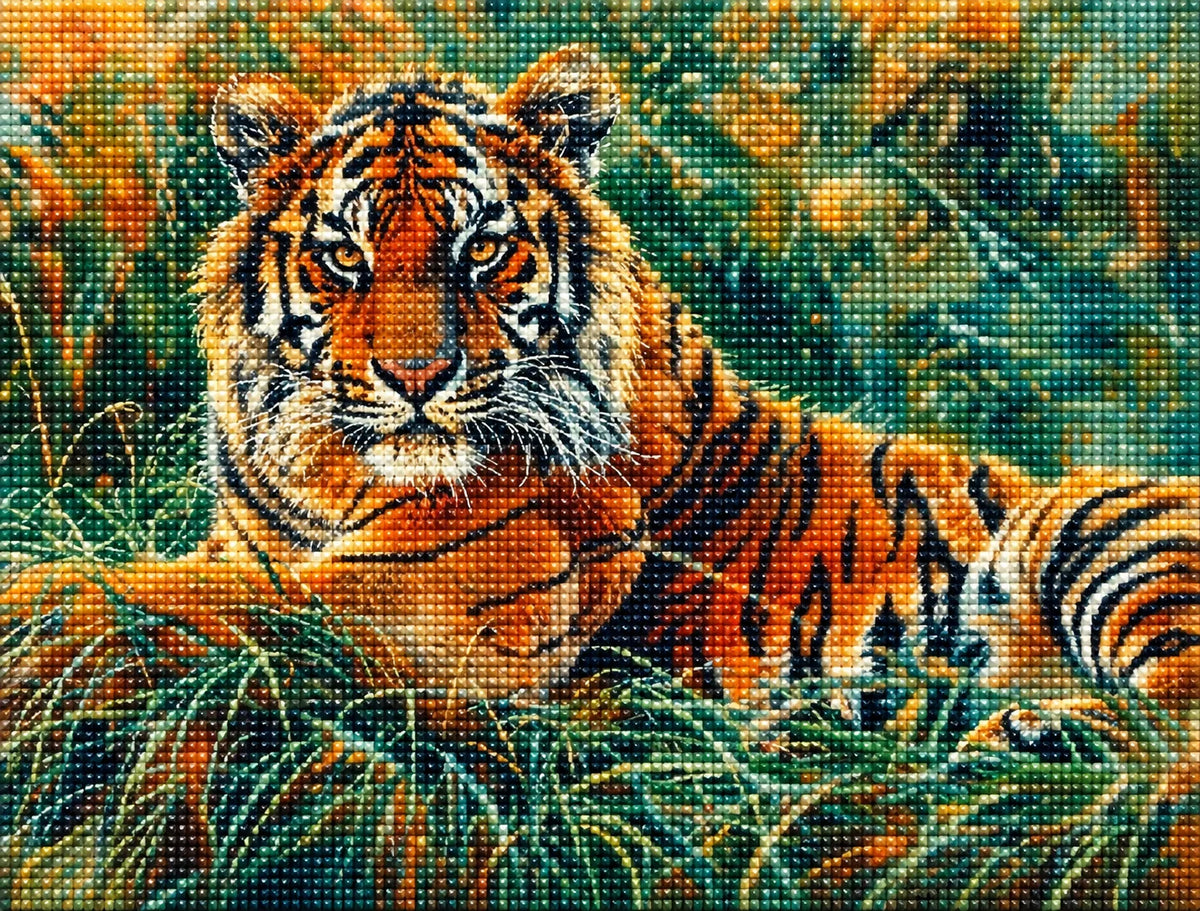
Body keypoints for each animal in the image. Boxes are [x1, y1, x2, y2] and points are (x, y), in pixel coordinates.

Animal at [3, 46, 1199, 717]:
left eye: (482, 248)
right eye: (344, 255)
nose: (415, 377)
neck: (333, 479)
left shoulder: (422, 611)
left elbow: (132, 602)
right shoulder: (257, 552)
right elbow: (149, 584)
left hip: (1100, 529)